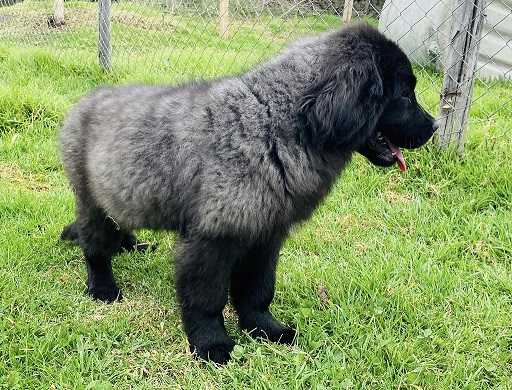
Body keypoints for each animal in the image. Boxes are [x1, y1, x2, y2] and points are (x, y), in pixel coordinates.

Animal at [59, 24, 436, 364]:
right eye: (405, 93)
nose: (433, 126)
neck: (277, 122)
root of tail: (85, 101)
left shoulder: (265, 236)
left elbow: (258, 290)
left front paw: (264, 329)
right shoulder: (212, 238)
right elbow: (207, 299)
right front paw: (211, 344)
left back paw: (132, 244)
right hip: (93, 202)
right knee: (96, 247)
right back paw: (103, 287)